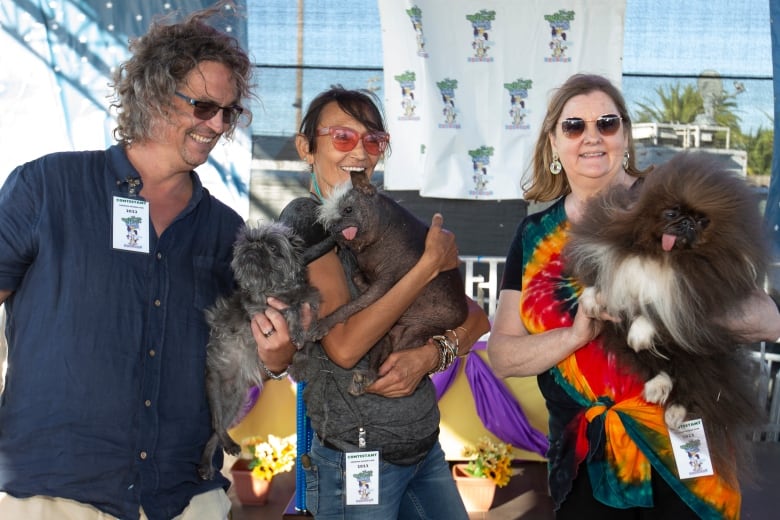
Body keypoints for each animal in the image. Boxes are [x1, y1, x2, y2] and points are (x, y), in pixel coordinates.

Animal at [198, 219, 320, 480]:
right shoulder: (258, 310)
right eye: (248, 240)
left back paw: (208, 461)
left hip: (235, 402)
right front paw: (295, 328)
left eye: (273, 247)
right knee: (216, 424)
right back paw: (224, 448)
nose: (254, 245)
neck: (274, 290)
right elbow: (289, 311)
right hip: (215, 389)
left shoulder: (309, 305)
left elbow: (306, 341)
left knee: (216, 431)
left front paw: (301, 361)